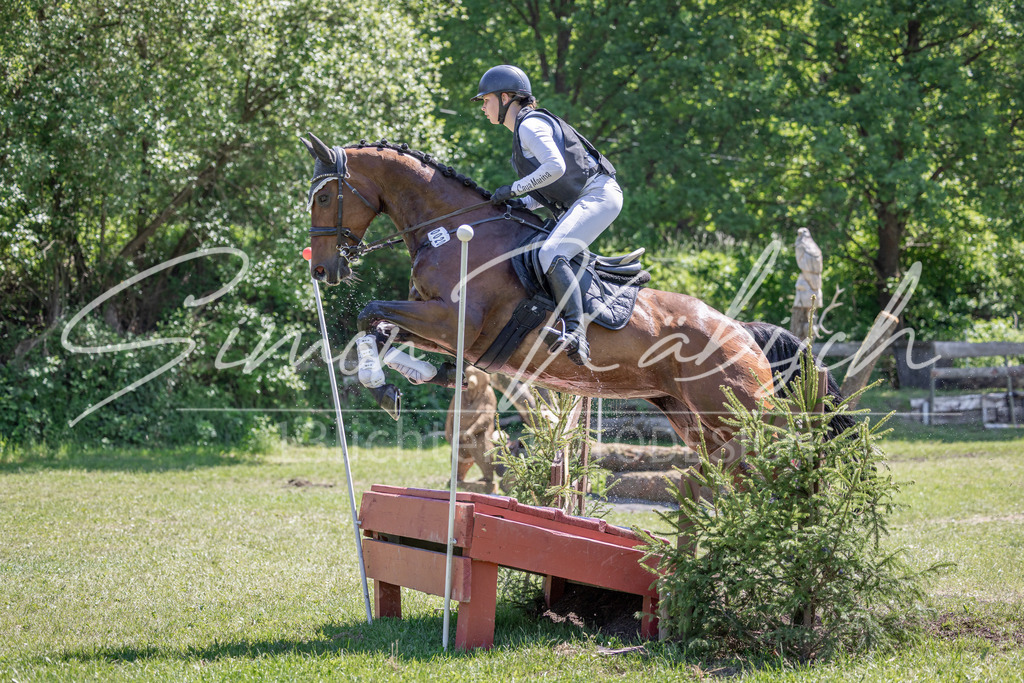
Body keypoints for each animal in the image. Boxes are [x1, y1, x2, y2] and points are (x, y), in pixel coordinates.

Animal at [301, 133, 850, 460]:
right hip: (693, 418)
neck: (452, 230)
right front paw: (401, 381)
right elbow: (378, 327)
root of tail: (745, 333)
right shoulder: (441, 326)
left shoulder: (456, 320)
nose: (322, 270)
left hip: (737, 414)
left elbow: (370, 312)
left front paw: (387, 384)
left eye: (324, 196)